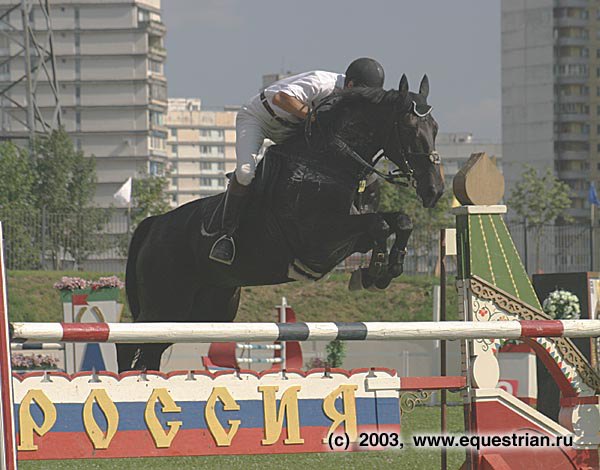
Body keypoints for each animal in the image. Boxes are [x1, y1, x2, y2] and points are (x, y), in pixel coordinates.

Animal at [118, 75, 446, 372]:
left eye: (435, 128)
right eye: (410, 129)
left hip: (203, 312)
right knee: (128, 344)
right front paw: (376, 270)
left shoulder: (352, 235)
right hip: (164, 304)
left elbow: (400, 221)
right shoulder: (319, 241)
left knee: (151, 351)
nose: (435, 190)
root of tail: (155, 224)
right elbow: (379, 225)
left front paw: (388, 269)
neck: (331, 163)